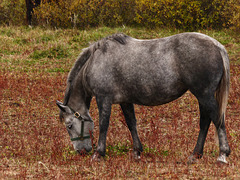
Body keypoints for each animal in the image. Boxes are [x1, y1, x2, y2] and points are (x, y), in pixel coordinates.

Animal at [56, 32, 231, 163]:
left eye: (69, 126)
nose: (81, 151)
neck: (96, 61)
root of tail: (217, 45)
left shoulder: (103, 99)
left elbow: (104, 125)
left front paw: (98, 154)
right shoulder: (125, 101)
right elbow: (131, 123)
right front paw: (137, 152)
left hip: (204, 95)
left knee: (217, 119)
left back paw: (222, 154)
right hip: (202, 96)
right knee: (205, 122)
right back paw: (195, 155)